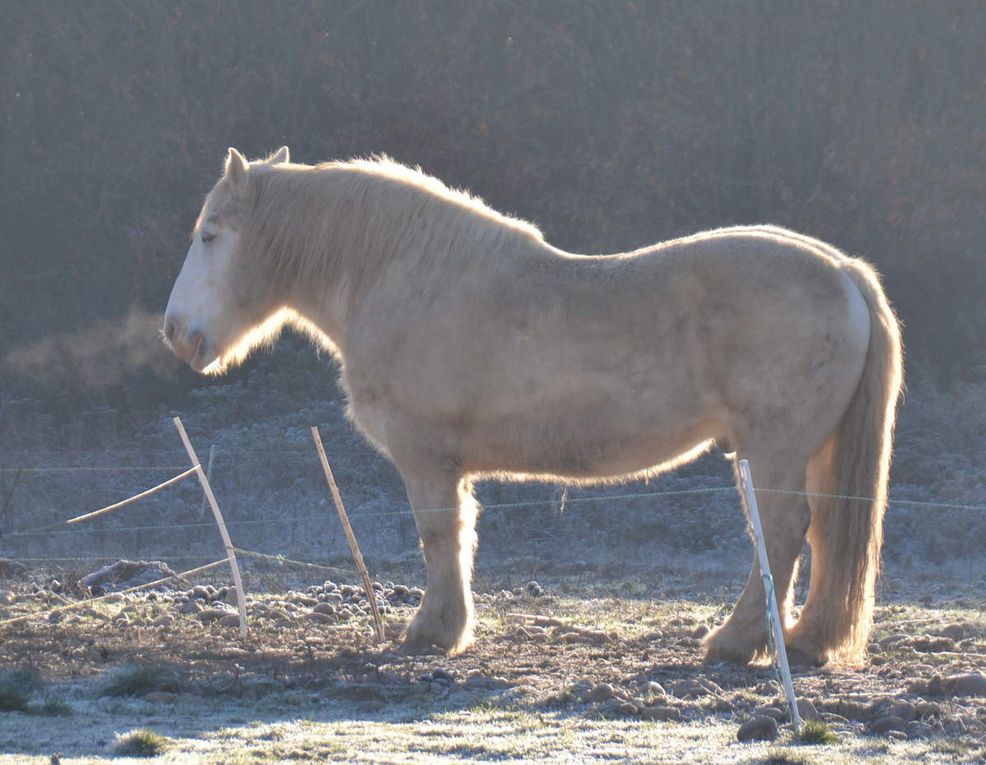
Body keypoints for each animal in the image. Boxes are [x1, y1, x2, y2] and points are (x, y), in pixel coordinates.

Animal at [161, 148, 900, 664]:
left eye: (209, 235)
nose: (175, 332)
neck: (404, 274)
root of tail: (842, 270)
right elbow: (461, 533)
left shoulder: (425, 456)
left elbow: (438, 534)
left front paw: (433, 631)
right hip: (812, 449)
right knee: (822, 531)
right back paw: (805, 639)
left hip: (775, 448)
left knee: (783, 531)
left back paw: (737, 641)